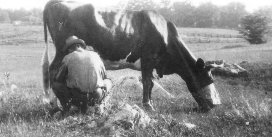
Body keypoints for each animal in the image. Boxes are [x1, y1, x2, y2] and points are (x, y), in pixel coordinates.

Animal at [42, 0, 221, 111]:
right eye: (208, 78)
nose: (216, 105)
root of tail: (54, 2)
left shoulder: (151, 64)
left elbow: (150, 84)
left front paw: (149, 102)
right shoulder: (149, 58)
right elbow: (147, 83)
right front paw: (148, 105)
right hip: (62, 50)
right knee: (52, 71)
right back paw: (55, 105)